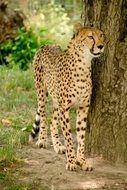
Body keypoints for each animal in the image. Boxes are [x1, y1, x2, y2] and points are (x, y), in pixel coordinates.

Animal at [29, 23, 104, 171]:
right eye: (90, 37)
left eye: (101, 36)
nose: (101, 46)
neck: (83, 65)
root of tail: (47, 44)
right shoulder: (65, 108)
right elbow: (69, 136)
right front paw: (71, 161)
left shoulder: (83, 107)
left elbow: (81, 136)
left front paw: (82, 160)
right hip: (41, 93)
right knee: (43, 116)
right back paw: (42, 140)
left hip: (57, 102)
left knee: (53, 122)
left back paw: (58, 146)